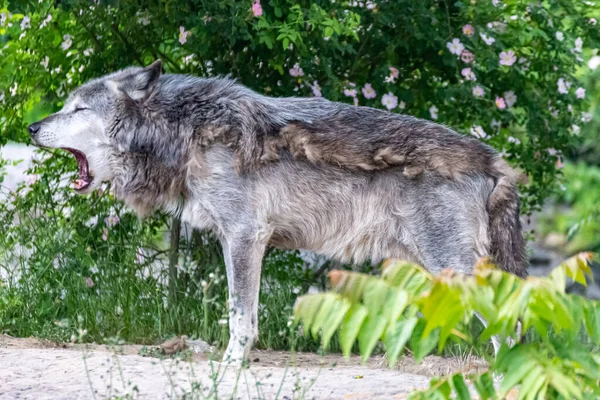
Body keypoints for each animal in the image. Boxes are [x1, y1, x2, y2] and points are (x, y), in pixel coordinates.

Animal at [28, 61, 524, 364]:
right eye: (64, 106)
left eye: (78, 108)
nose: (31, 127)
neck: (183, 132)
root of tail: (491, 158)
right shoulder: (242, 241)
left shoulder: (244, 237)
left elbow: (239, 315)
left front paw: (231, 365)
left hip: (450, 268)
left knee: (513, 323)